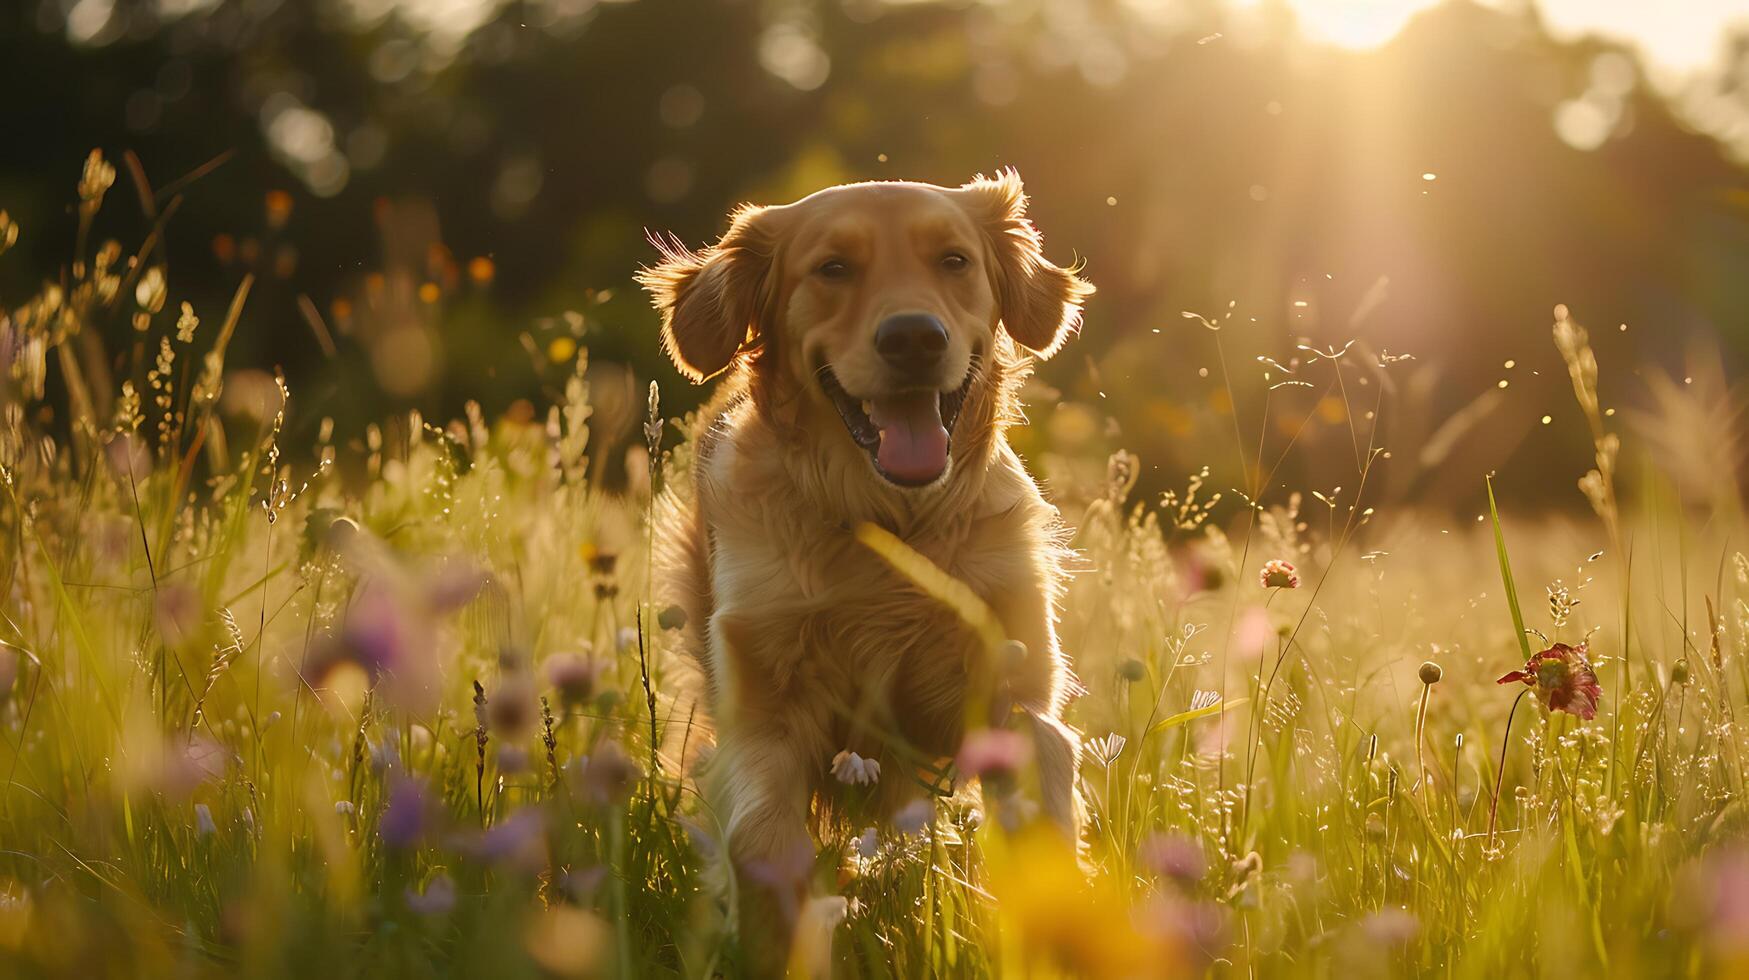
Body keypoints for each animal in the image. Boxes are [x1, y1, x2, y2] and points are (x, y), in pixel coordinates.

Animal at [636, 170, 1084, 973]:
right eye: (833, 268)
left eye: (953, 261)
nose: (913, 337)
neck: (886, 526)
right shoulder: (764, 708)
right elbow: (760, 841)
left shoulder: (1013, 677)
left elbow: (1042, 786)